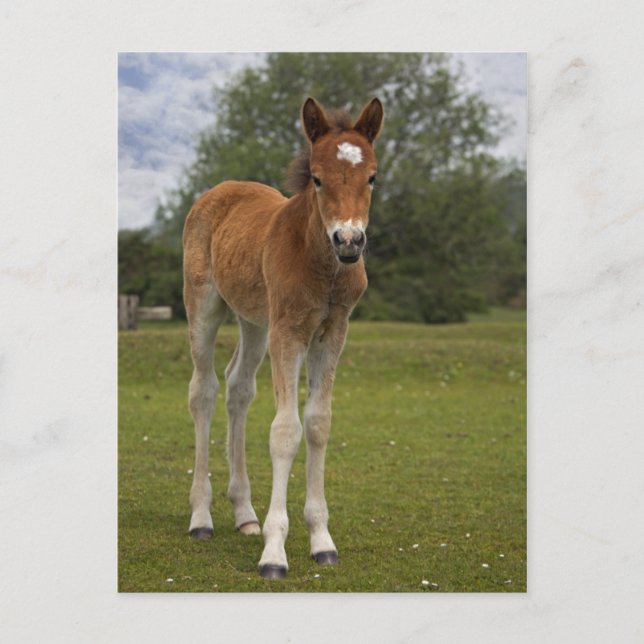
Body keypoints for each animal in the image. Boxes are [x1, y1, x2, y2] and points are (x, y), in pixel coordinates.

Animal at [182, 96, 384, 579]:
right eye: (317, 177)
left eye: (372, 176)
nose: (349, 241)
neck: (323, 265)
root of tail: (218, 190)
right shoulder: (289, 332)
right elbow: (285, 429)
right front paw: (275, 552)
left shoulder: (332, 332)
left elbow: (318, 424)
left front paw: (322, 541)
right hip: (205, 306)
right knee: (204, 390)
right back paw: (201, 517)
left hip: (255, 322)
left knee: (238, 387)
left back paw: (244, 514)